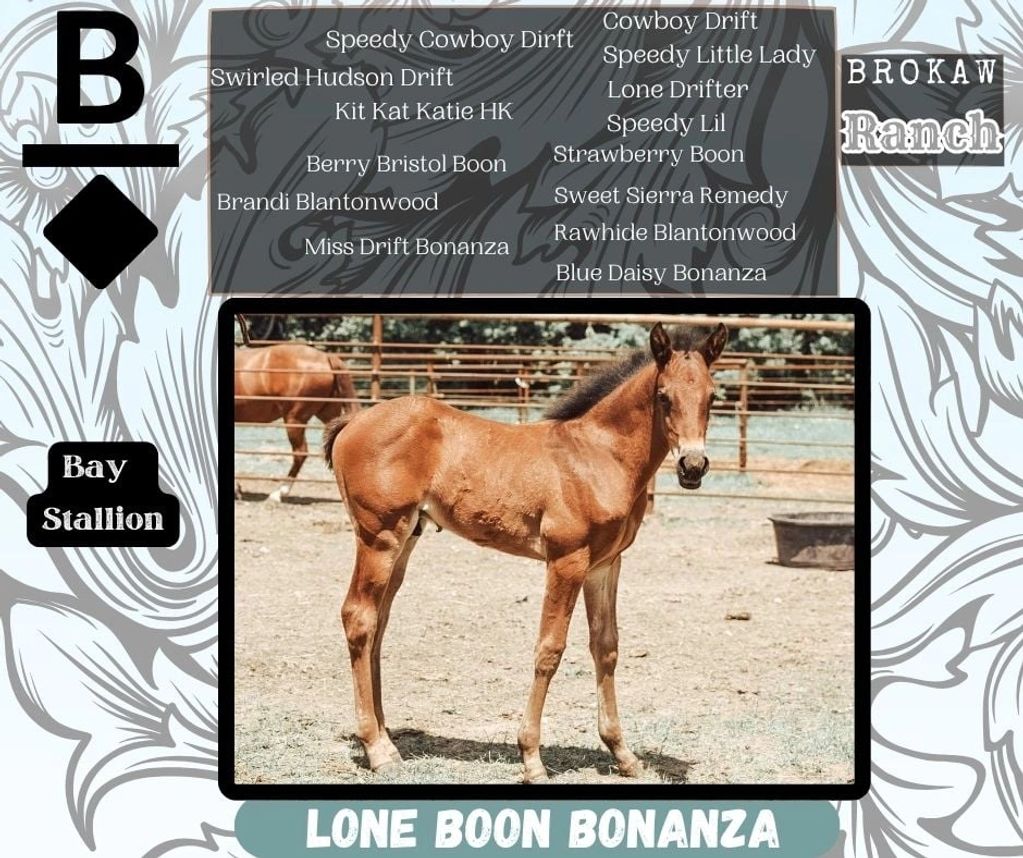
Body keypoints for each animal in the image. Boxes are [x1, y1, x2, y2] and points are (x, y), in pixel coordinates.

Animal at [323, 322, 728, 782]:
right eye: (663, 396)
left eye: (713, 396)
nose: (692, 466)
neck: (599, 456)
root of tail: (354, 420)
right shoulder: (567, 561)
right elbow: (549, 650)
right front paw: (532, 758)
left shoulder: (606, 564)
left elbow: (606, 647)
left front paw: (623, 754)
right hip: (379, 536)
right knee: (359, 617)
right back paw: (376, 749)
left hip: (406, 539)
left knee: (379, 622)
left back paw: (388, 738)